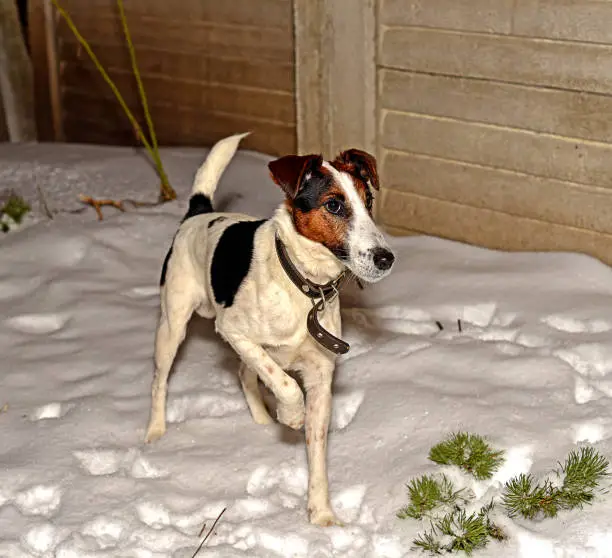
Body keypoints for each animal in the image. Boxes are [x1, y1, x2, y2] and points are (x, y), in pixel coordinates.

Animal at [147, 133, 396, 528]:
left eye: (368, 202)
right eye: (334, 205)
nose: (386, 258)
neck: (304, 284)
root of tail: (199, 213)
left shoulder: (320, 378)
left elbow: (317, 454)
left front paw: (321, 514)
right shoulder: (233, 330)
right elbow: (285, 384)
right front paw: (291, 415)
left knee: (243, 373)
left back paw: (263, 423)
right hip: (173, 324)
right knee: (161, 381)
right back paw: (155, 433)